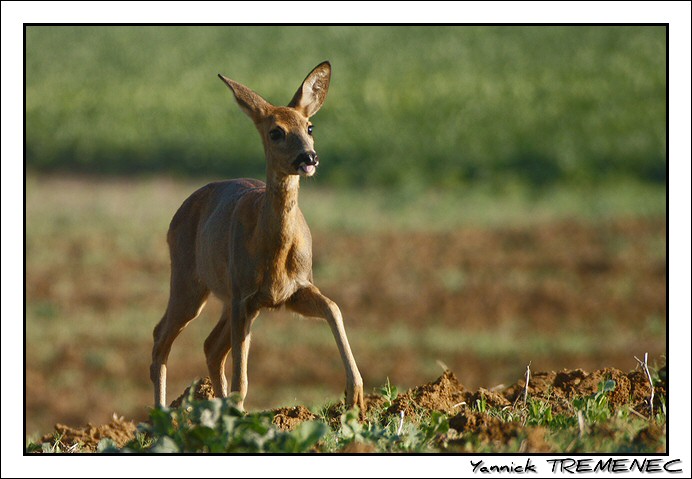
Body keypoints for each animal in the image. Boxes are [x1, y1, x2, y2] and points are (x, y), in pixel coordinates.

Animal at [149, 60, 364, 412]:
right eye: (276, 132)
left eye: (310, 127)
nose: (309, 158)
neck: (274, 252)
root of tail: (178, 213)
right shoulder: (244, 296)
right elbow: (242, 378)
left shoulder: (292, 290)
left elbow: (333, 307)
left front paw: (355, 394)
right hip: (189, 281)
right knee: (161, 337)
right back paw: (161, 414)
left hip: (225, 297)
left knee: (210, 346)